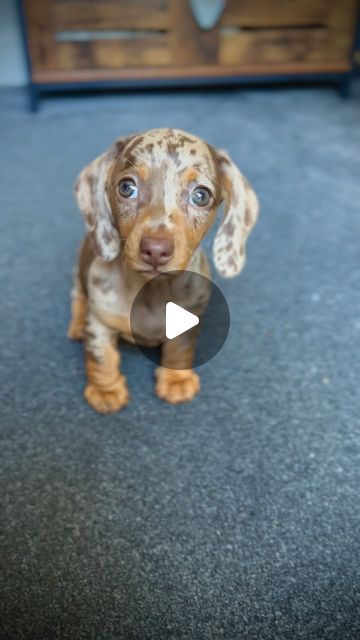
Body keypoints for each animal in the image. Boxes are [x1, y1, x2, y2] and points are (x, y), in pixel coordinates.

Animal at [68, 127, 258, 412]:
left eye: (201, 195)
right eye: (127, 188)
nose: (156, 249)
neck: (151, 292)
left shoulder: (188, 320)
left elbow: (179, 350)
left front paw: (176, 380)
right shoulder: (100, 320)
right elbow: (101, 357)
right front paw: (106, 389)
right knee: (78, 298)